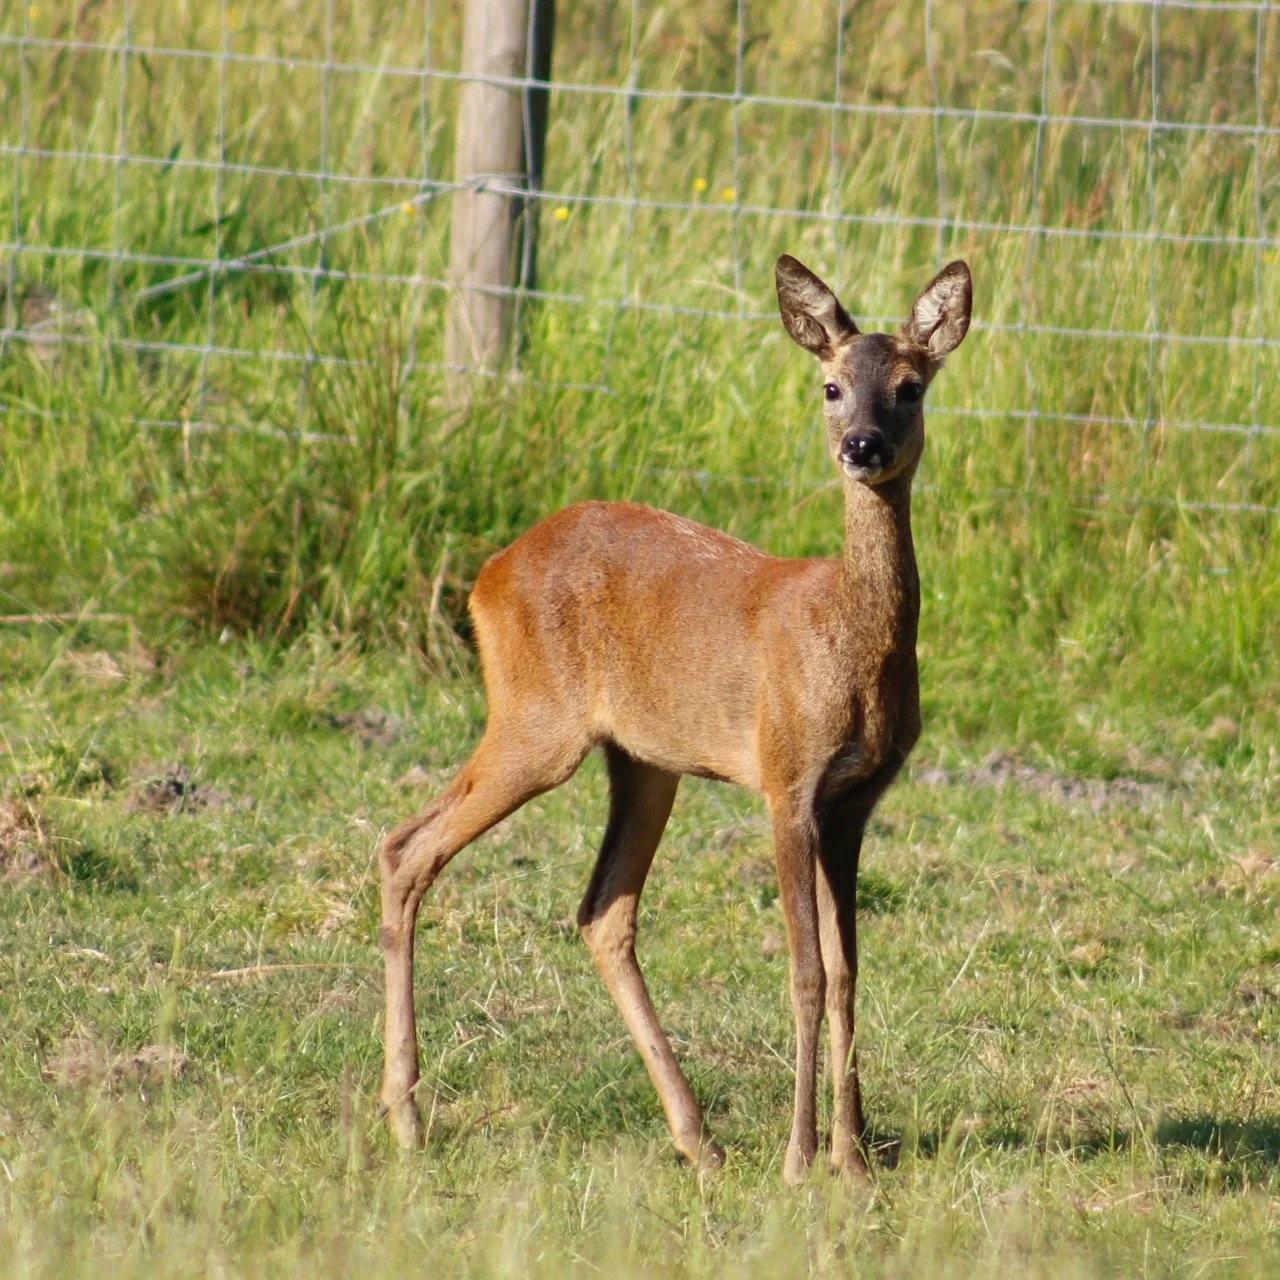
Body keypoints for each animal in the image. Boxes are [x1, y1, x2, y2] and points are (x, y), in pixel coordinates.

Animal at [377, 254, 972, 1183]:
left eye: (910, 387)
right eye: (831, 385)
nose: (862, 447)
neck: (847, 638)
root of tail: (486, 575)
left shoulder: (856, 800)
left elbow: (848, 972)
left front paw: (853, 1156)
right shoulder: (785, 776)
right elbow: (805, 971)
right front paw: (801, 1158)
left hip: (644, 760)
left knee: (602, 911)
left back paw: (697, 1137)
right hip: (535, 720)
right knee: (406, 847)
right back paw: (405, 1118)